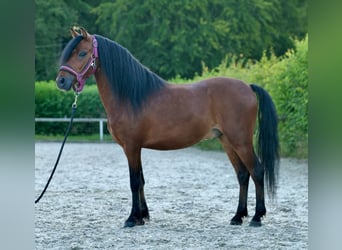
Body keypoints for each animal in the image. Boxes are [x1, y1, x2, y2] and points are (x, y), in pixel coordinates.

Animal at [56, 26, 280, 227]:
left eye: (82, 53)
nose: (61, 81)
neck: (130, 96)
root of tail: (248, 87)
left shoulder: (131, 146)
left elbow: (134, 182)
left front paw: (132, 219)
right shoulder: (136, 148)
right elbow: (141, 180)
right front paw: (143, 217)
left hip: (241, 141)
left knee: (257, 171)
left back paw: (257, 217)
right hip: (226, 141)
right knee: (242, 175)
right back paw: (237, 217)